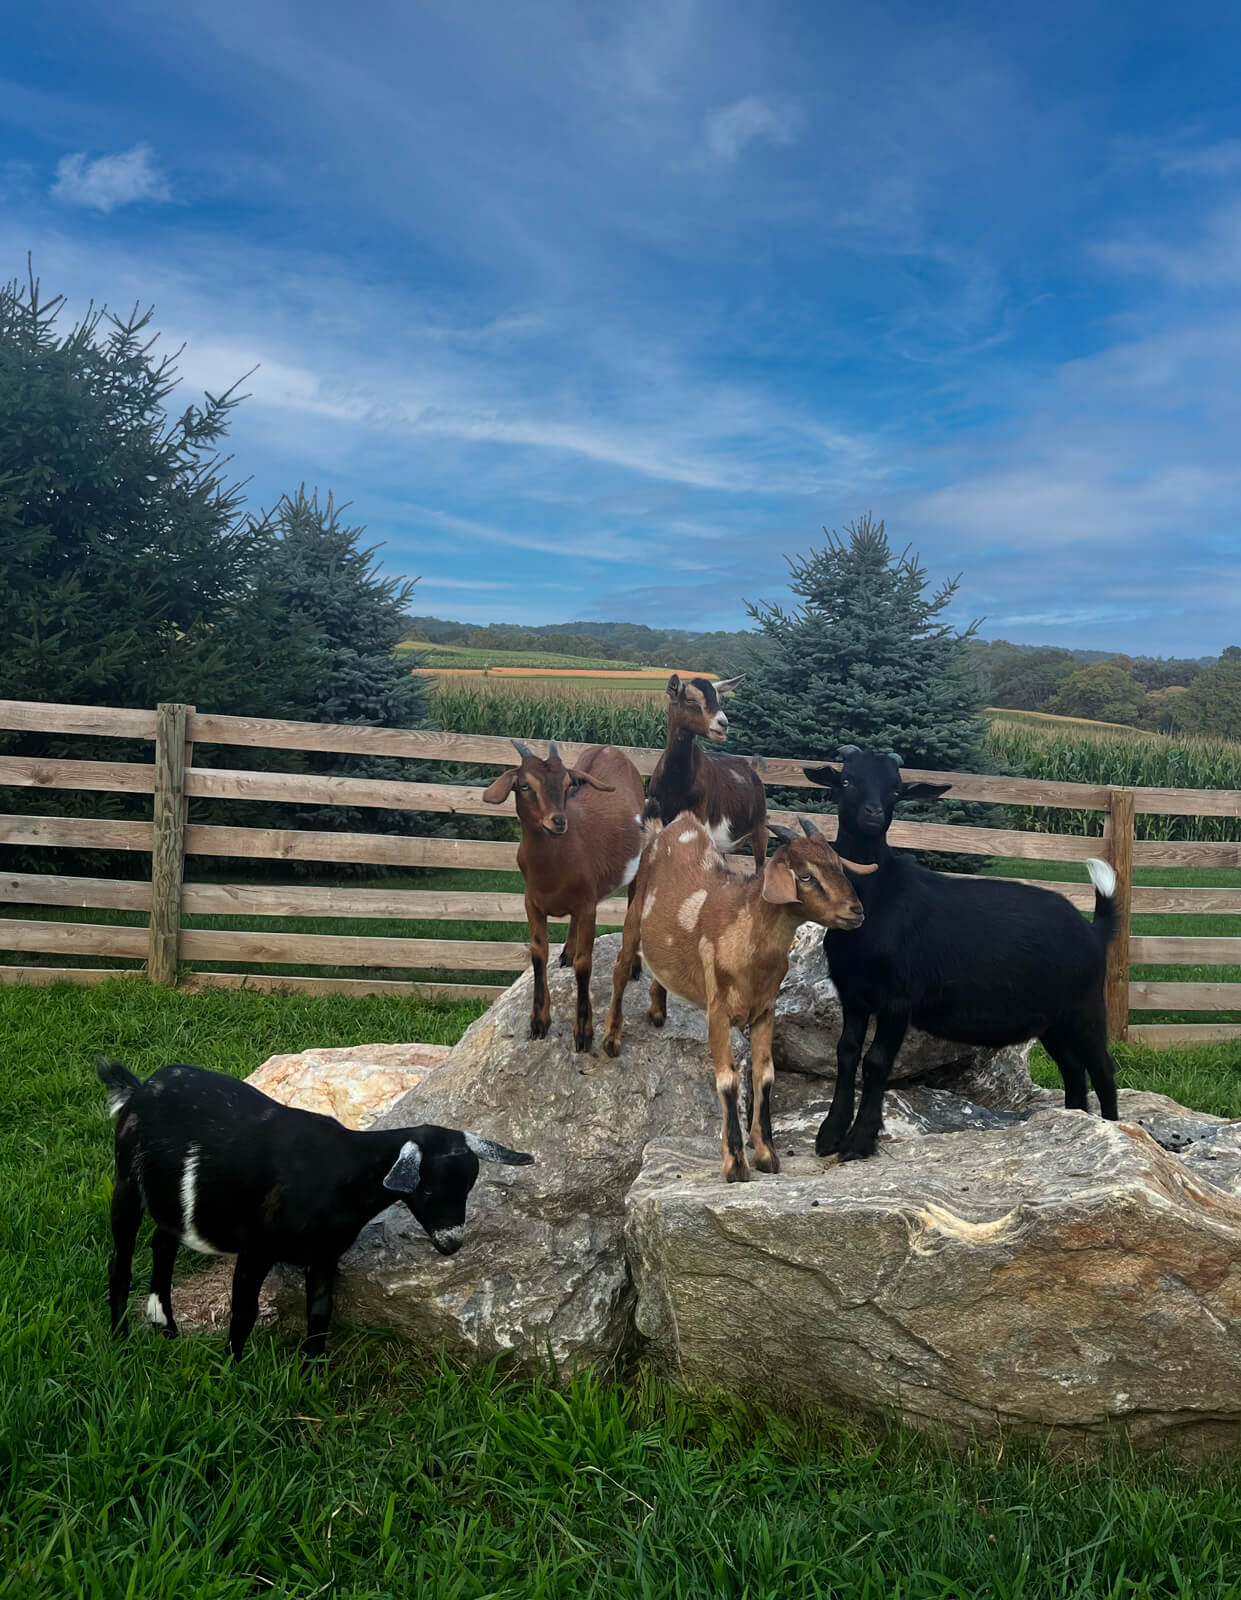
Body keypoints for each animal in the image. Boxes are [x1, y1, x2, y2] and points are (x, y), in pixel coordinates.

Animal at [98, 1058, 533, 1359]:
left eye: (468, 1187)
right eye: (427, 1191)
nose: (452, 1243)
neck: (343, 1172)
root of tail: (139, 1089)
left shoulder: (325, 1255)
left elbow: (321, 1313)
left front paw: (313, 1370)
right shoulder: (257, 1248)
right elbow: (244, 1312)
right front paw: (231, 1367)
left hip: (177, 1198)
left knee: (162, 1243)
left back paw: (166, 1327)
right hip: (126, 1182)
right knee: (121, 1258)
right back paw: (120, 1336)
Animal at [483, 739, 645, 1052]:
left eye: (568, 783)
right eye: (524, 785)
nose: (557, 822)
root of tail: (609, 748)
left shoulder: (588, 906)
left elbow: (584, 964)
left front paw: (583, 1032)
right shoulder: (532, 902)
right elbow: (538, 953)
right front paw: (538, 1022)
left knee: (635, 904)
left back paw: (634, 965)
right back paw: (567, 951)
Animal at [603, 812, 875, 1182]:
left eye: (838, 865)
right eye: (806, 875)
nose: (856, 911)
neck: (747, 938)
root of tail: (673, 826)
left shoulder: (765, 1012)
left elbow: (765, 1075)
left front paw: (766, 1154)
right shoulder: (717, 1012)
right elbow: (728, 1080)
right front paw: (735, 1164)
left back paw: (658, 1010)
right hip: (634, 913)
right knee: (621, 969)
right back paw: (610, 1039)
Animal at [801, 746, 1121, 1162]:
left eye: (896, 790)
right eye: (846, 780)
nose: (873, 814)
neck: (877, 897)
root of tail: (1093, 931)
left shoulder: (897, 1000)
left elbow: (875, 1063)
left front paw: (859, 1141)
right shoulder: (853, 995)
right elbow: (846, 1053)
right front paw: (829, 1135)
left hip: (1085, 1008)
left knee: (1103, 1070)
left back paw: (1114, 1128)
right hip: (1052, 1020)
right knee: (1073, 1071)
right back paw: (1073, 1121)